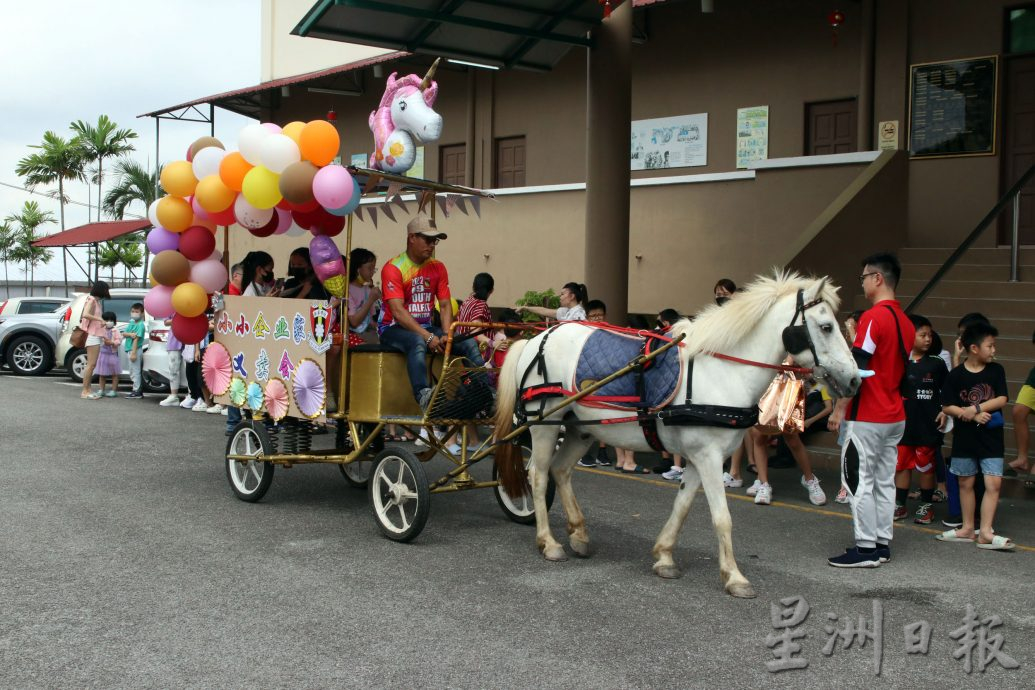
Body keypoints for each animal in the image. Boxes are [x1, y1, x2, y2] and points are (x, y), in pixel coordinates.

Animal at [492, 273, 856, 595]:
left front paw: (665, 556)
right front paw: (735, 576)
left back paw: (579, 535)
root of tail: (536, 338)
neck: (722, 371)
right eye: (826, 327)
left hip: (579, 428)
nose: (854, 380)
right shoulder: (708, 456)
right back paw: (548, 541)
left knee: (561, 470)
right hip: (543, 423)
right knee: (537, 475)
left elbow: (681, 507)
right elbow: (722, 517)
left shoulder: (699, 457)